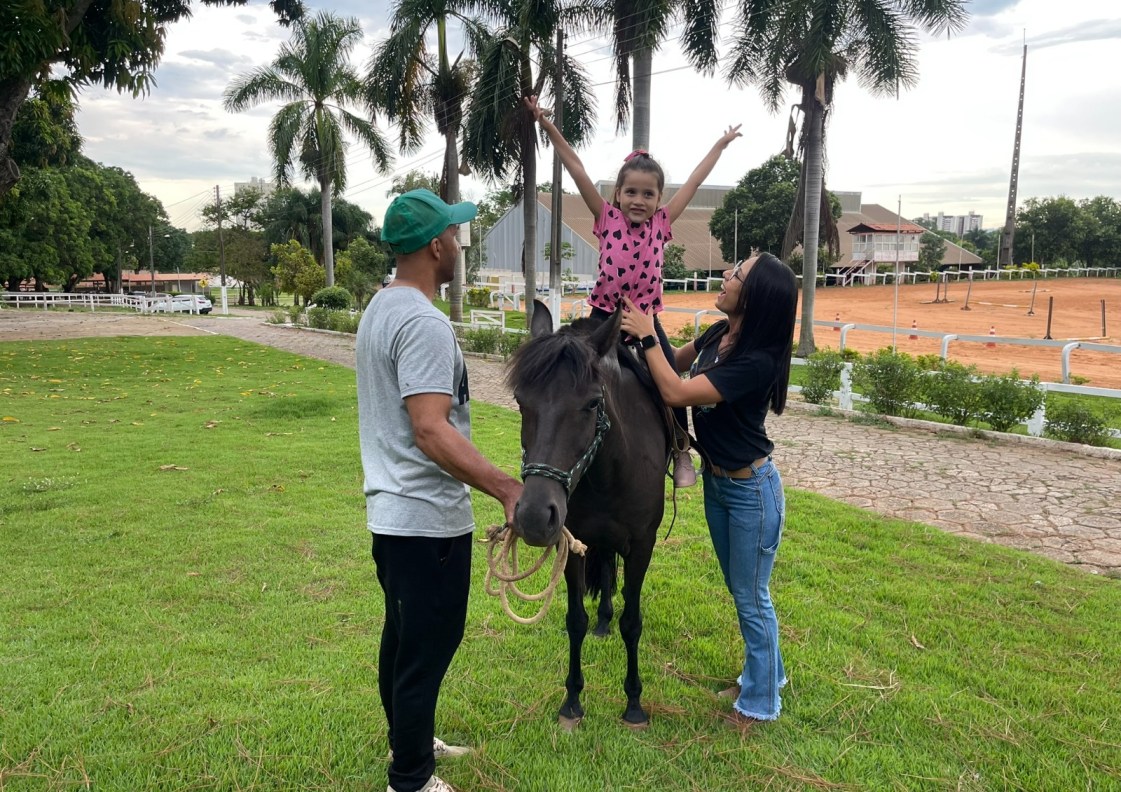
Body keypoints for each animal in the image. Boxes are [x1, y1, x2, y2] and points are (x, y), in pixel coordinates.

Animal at [506, 304, 668, 730]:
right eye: (520, 401)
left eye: (594, 403)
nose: (534, 516)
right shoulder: (573, 544)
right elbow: (575, 619)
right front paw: (573, 700)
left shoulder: (641, 546)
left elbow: (633, 622)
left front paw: (633, 703)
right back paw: (602, 620)